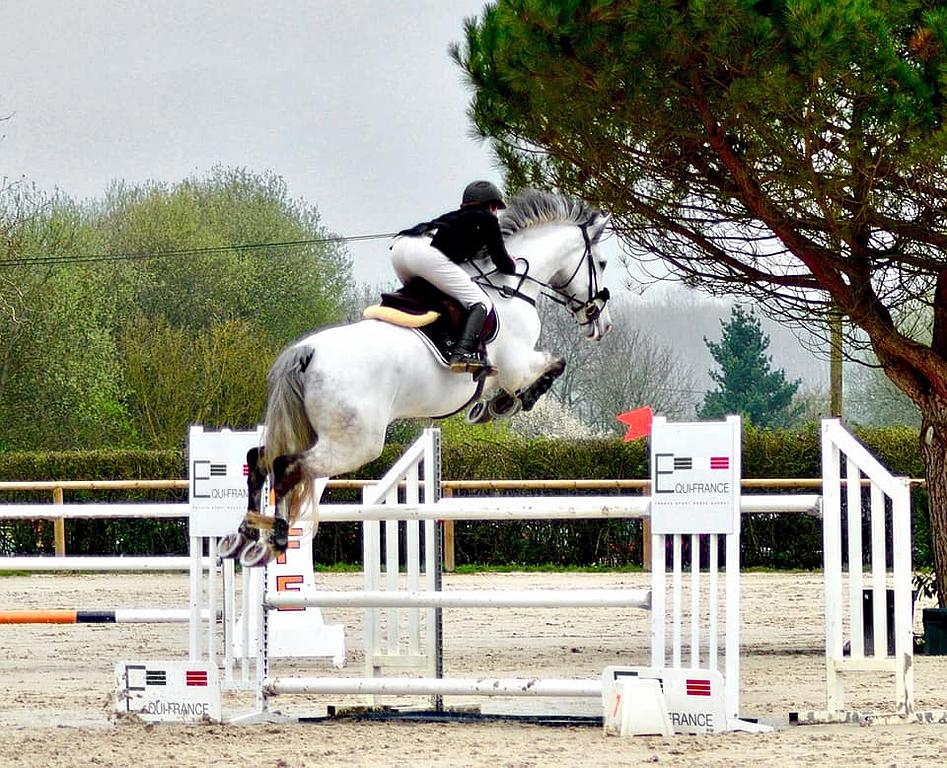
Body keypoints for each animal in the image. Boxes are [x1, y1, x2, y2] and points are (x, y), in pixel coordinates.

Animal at [221, 189, 613, 566]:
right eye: (602, 263)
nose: (602, 324)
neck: (511, 287)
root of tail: (308, 352)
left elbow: (549, 367)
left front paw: (492, 406)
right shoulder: (517, 364)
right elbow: (554, 365)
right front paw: (504, 405)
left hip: (318, 431)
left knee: (258, 458)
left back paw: (245, 537)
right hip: (356, 443)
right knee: (286, 466)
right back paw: (274, 541)